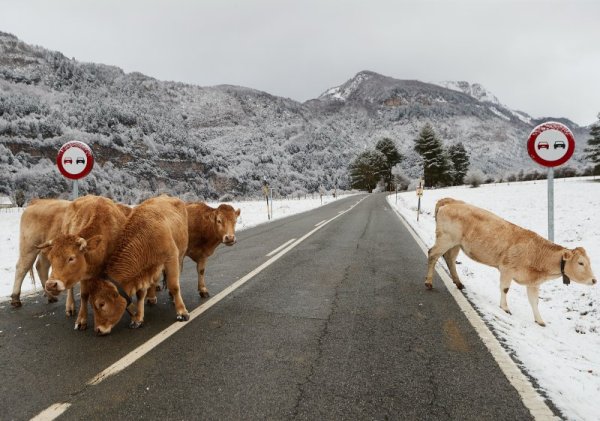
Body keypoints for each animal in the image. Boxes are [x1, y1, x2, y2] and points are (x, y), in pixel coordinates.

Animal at [37, 194, 129, 328]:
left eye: (71, 258)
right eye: (51, 257)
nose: (50, 285)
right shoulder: (84, 275)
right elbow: (84, 295)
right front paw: (81, 319)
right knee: (70, 288)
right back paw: (70, 306)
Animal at [86, 194, 189, 334]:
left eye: (101, 304)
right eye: (91, 304)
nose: (98, 329)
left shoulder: (171, 258)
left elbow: (174, 286)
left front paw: (182, 313)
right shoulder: (143, 272)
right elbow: (140, 294)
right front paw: (137, 319)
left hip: (180, 256)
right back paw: (151, 298)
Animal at [424, 197, 596, 324]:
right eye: (581, 263)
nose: (594, 280)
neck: (537, 253)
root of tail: (450, 201)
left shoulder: (533, 283)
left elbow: (534, 301)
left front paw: (540, 321)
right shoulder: (507, 269)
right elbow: (505, 289)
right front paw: (505, 308)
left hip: (456, 244)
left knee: (449, 259)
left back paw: (459, 283)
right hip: (446, 239)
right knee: (432, 254)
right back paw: (429, 282)